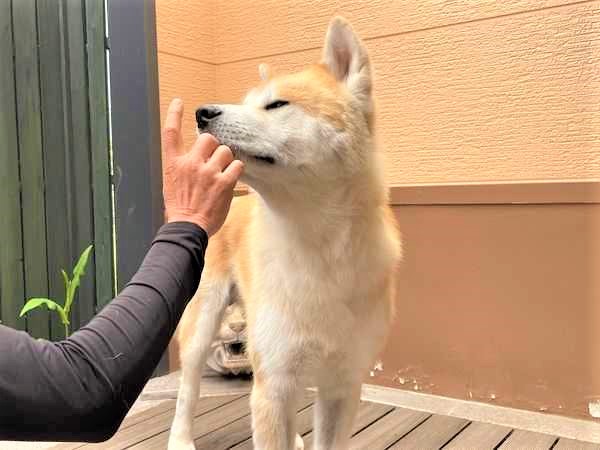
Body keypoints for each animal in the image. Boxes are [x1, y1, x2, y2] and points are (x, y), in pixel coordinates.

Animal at [169, 15, 404, 448]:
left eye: (277, 104)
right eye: (247, 102)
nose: (201, 113)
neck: (319, 247)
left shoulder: (342, 386)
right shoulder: (275, 384)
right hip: (203, 324)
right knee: (187, 389)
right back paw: (180, 438)